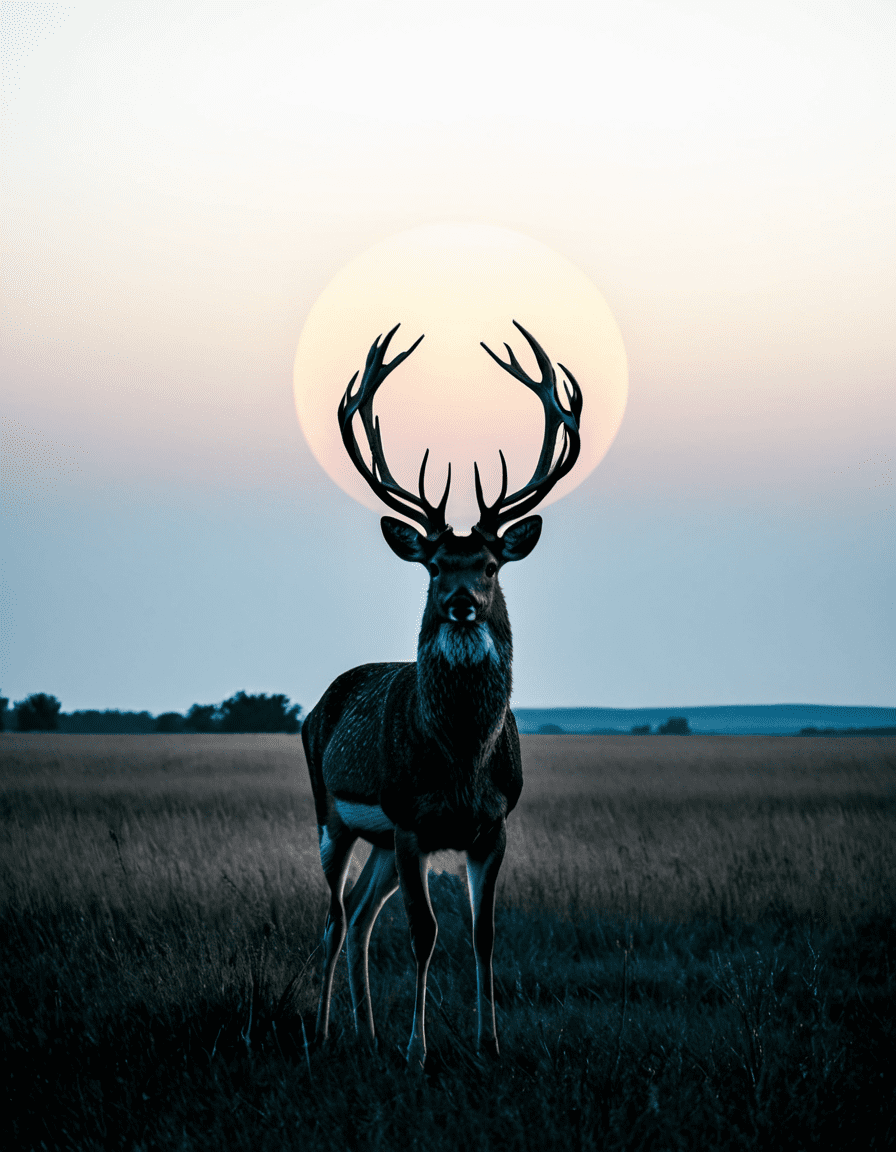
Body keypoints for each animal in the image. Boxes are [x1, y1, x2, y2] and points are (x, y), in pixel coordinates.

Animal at [301, 321, 582, 1068]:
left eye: (488, 564)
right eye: (432, 566)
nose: (461, 603)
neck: (460, 762)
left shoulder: (492, 825)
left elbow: (484, 935)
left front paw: (490, 1042)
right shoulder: (411, 821)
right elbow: (425, 935)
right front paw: (417, 1050)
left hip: (377, 842)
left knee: (361, 915)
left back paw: (365, 1030)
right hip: (335, 816)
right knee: (334, 918)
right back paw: (327, 1030)